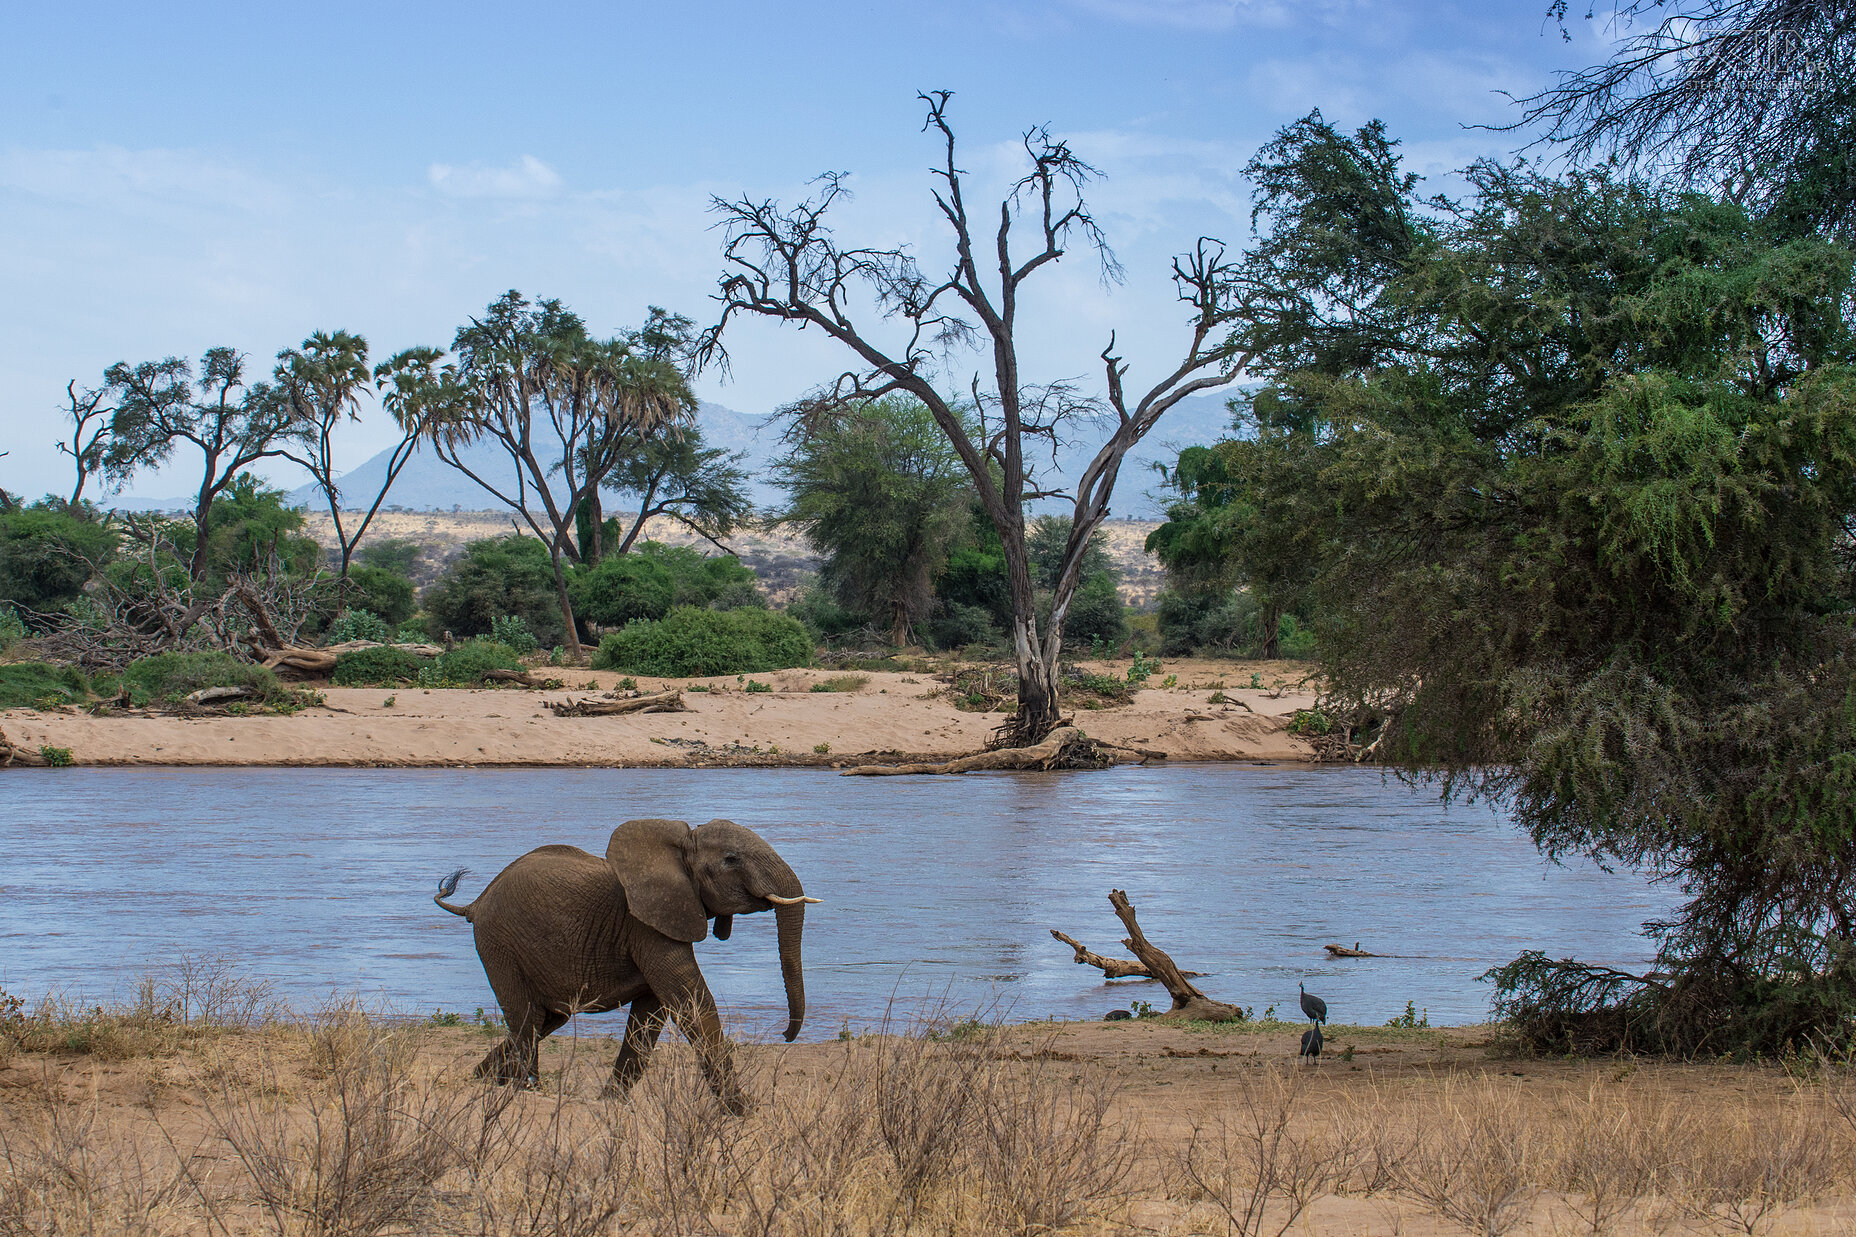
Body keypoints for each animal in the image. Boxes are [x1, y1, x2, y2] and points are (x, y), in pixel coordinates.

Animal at [434, 817, 820, 1106]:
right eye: (731, 859)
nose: (785, 1035)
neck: (678, 846)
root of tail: (475, 904)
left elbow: (650, 1014)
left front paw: (611, 1101)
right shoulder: (647, 923)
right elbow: (690, 1001)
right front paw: (742, 1109)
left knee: (546, 1019)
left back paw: (484, 1080)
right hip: (498, 945)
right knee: (527, 1018)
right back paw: (526, 1088)